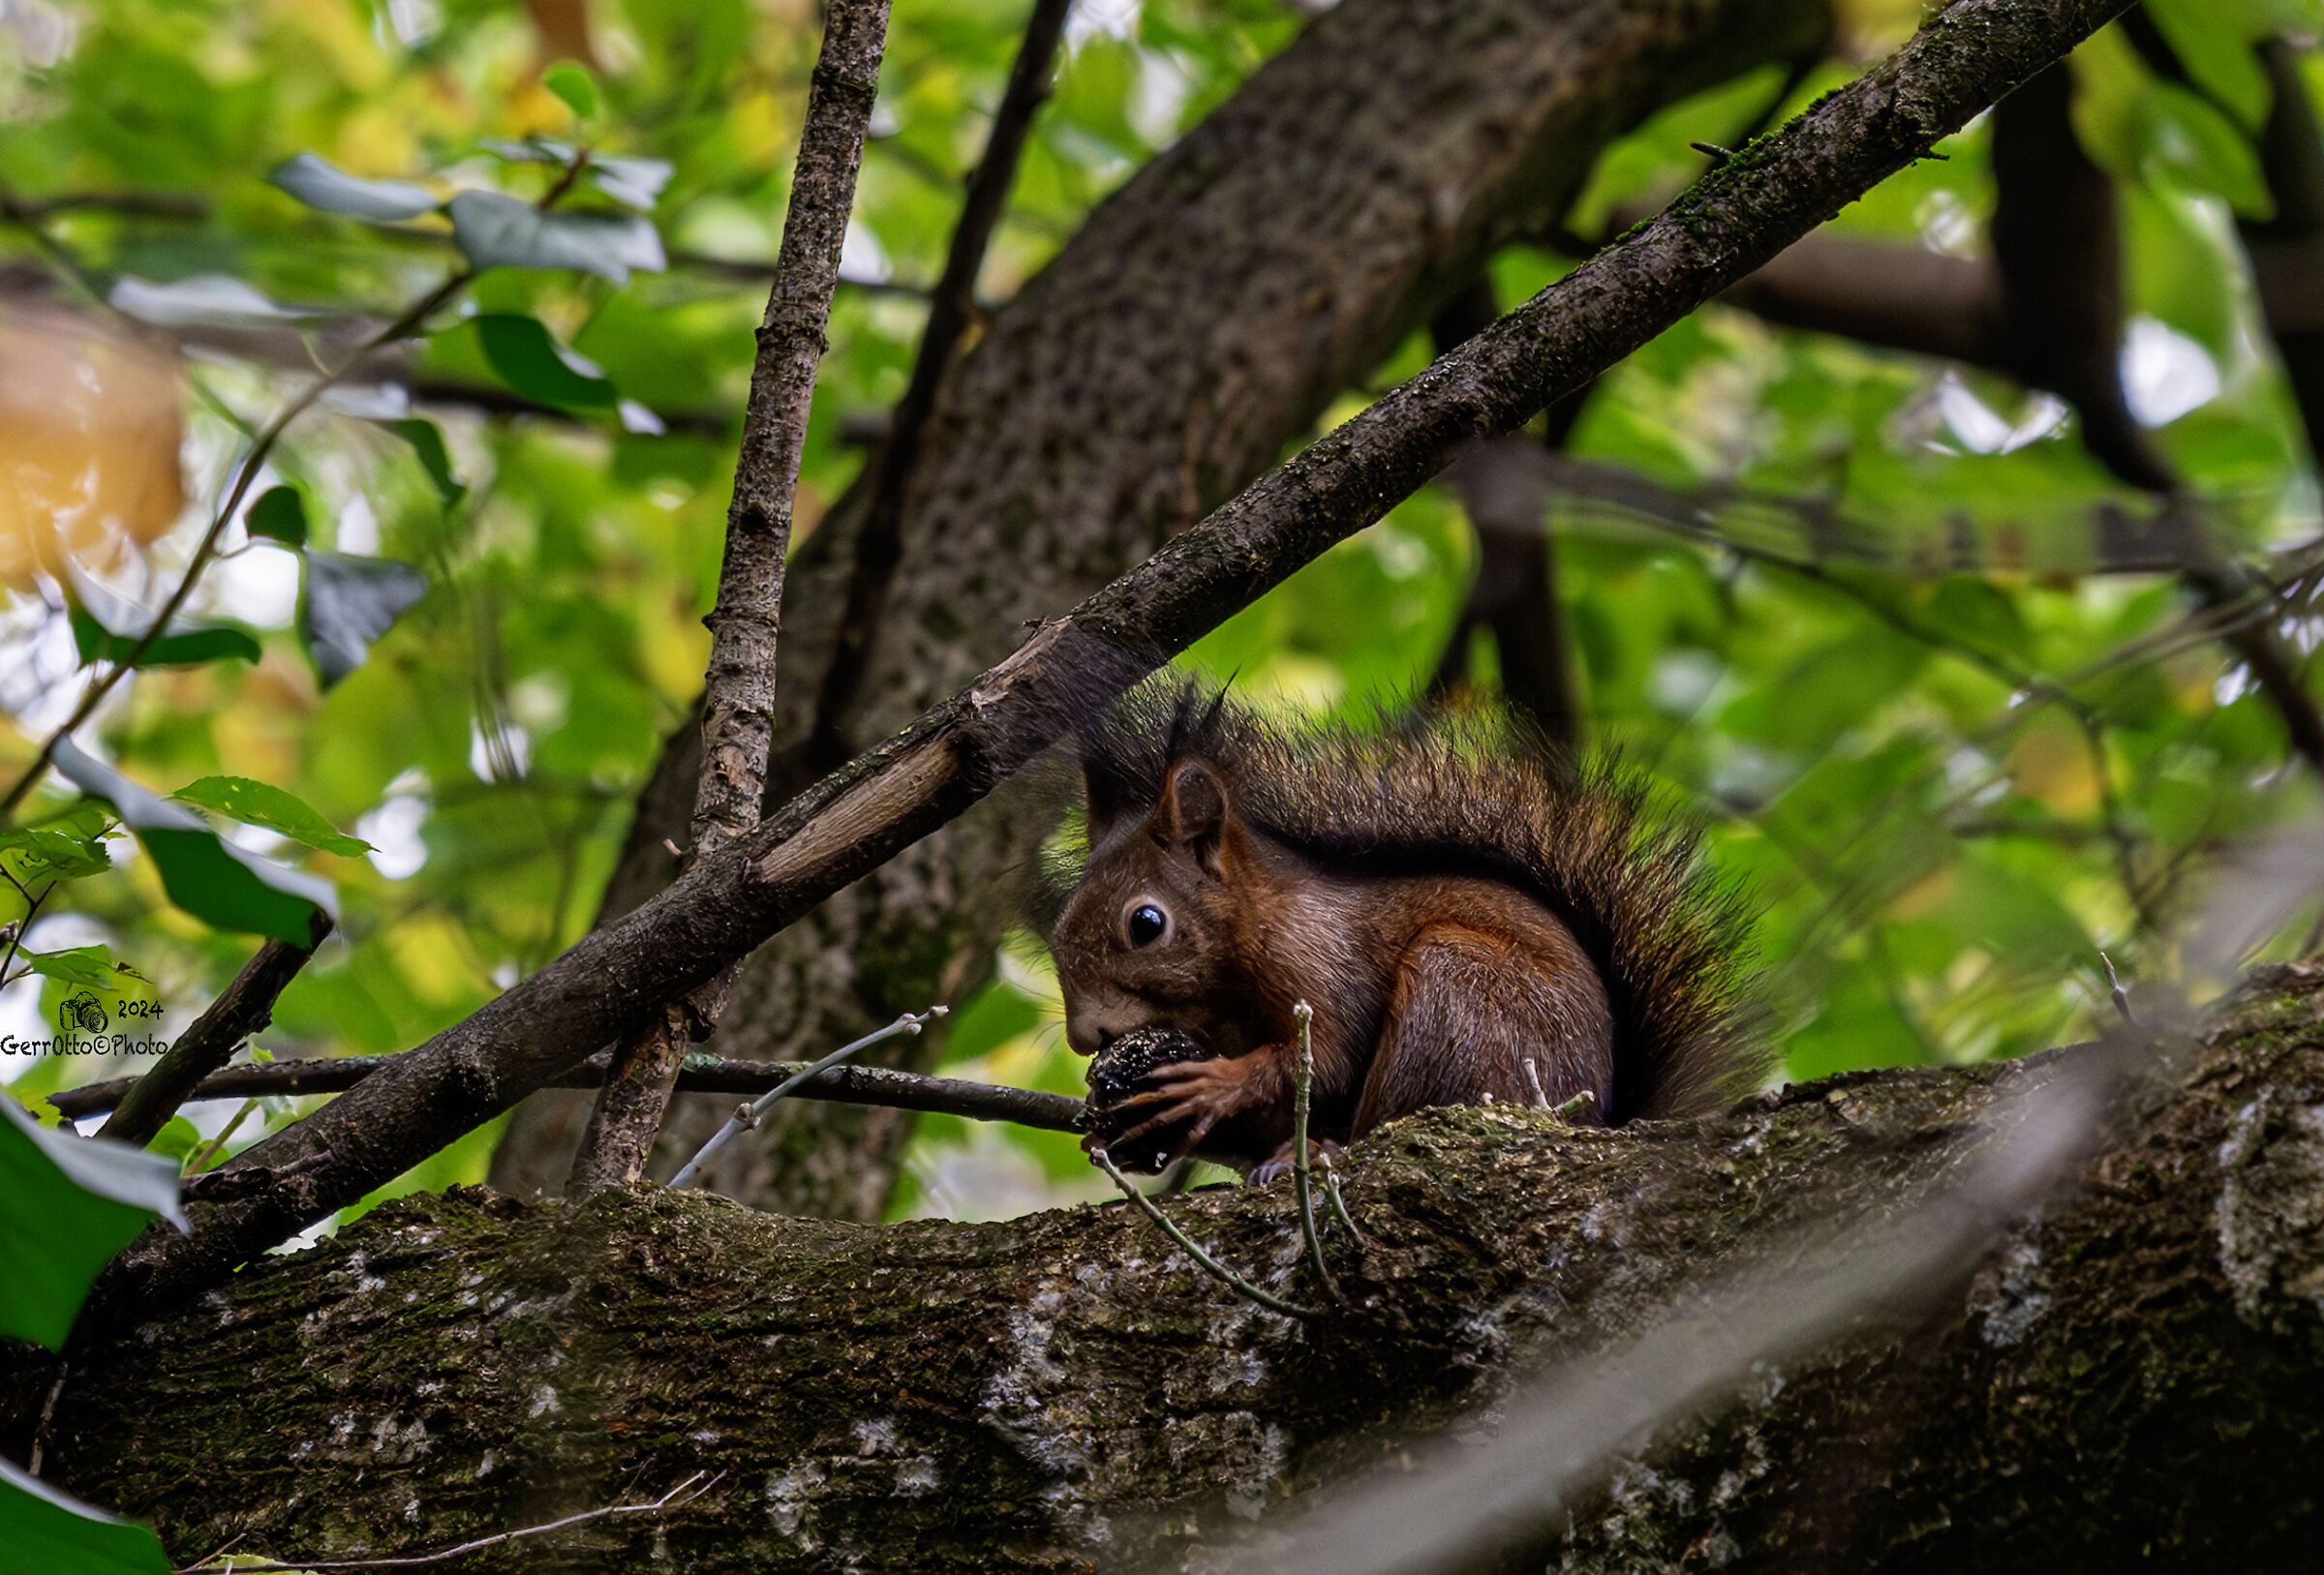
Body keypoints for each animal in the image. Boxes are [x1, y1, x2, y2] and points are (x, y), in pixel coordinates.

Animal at [1045, 681, 1761, 1180]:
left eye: (1146, 923)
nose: (1085, 1037)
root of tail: (1599, 1120)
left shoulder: (1319, 961)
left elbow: (1325, 1058)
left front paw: (1213, 1084)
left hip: (1459, 1000)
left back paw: (1323, 1149)